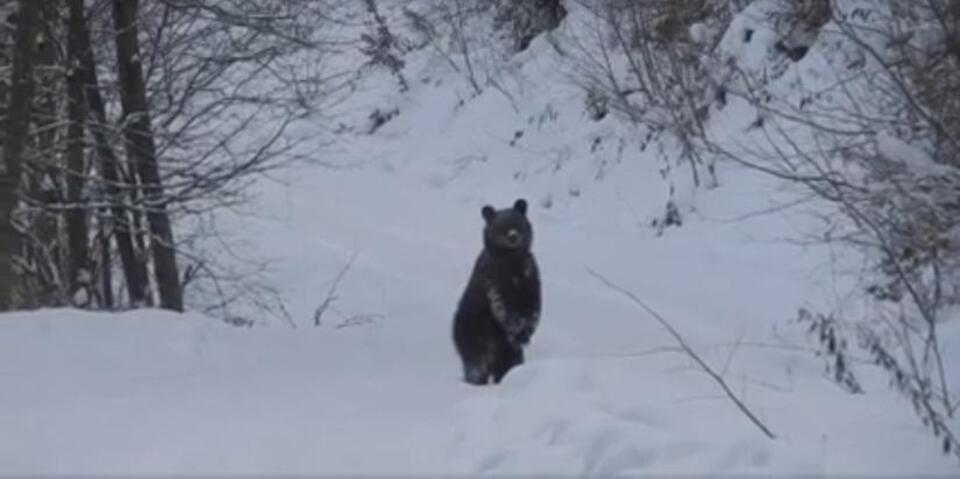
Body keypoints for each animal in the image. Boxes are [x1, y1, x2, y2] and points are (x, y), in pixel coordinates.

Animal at [452, 197, 540, 384]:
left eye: (517, 222)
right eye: (501, 225)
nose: (513, 236)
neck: (512, 261)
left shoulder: (530, 278)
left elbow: (533, 306)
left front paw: (526, 331)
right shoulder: (493, 278)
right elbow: (502, 306)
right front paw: (517, 330)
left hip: (503, 349)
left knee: (509, 363)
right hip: (475, 332)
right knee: (477, 364)